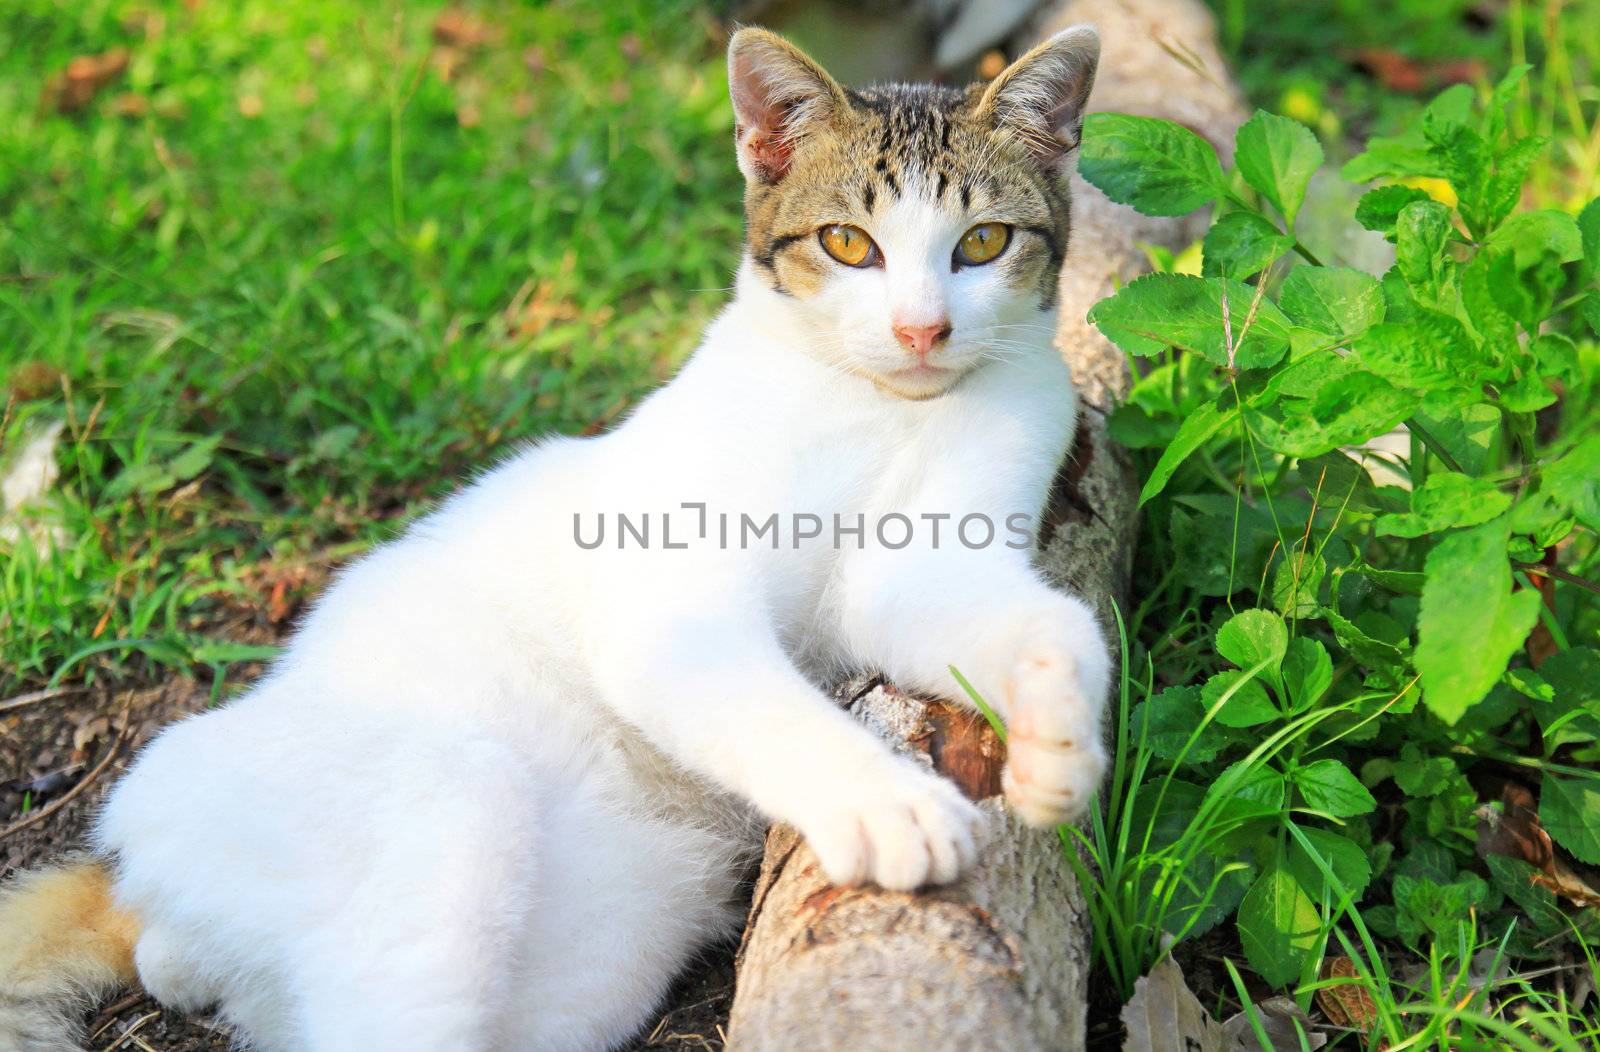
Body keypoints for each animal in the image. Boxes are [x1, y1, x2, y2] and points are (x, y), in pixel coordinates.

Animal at [0, 24, 1107, 1048]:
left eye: (980, 244)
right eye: (847, 245)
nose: (922, 331)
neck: (883, 408)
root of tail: (126, 862)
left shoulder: (916, 564)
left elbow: (1040, 621)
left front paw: (1057, 730)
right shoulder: (666, 601)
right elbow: (765, 698)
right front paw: (889, 805)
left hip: (592, 959)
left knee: (202, 967)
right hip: (444, 798)